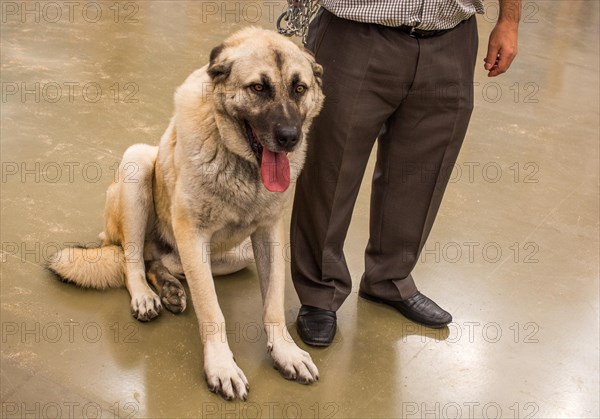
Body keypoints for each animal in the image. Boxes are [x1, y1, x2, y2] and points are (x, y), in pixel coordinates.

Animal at [48, 27, 324, 402]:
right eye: (258, 88)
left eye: (299, 88)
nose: (289, 138)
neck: (241, 164)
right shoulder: (193, 234)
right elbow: (211, 309)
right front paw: (222, 367)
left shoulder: (268, 234)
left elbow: (273, 305)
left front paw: (285, 351)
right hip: (137, 163)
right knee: (131, 261)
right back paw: (146, 295)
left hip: (234, 254)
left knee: (158, 261)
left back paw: (170, 288)